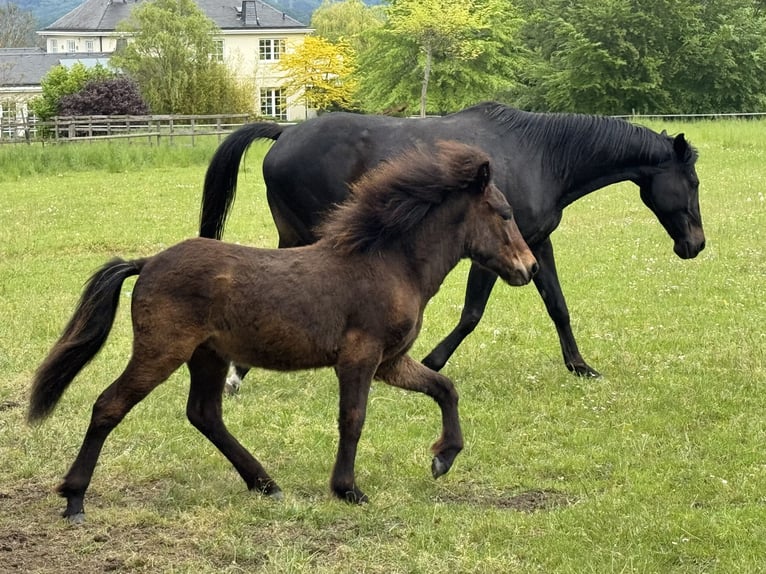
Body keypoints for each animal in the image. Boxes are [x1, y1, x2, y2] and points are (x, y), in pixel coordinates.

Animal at [28, 142, 538, 524]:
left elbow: (444, 387)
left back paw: (266, 484)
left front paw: (443, 458)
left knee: (205, 414)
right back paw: (74, 499)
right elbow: (353, 418)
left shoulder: (390, 361)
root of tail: (148, 262)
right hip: (162, 351)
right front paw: (348, 489)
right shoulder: (361, 356)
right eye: (504, 212)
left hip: (208, 355)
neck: (389, 264)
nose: (530, 268)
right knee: (109, 405)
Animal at [200, 101, 705, 389]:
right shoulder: (491, 254)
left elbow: (558, 306)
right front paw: (431, 360)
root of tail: (285, 132)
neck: (541, 156)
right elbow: (472, 314)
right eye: (694, 182)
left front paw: (580, 366)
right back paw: (239, 372)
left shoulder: (536, 246)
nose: (696, 245)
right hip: (307, 234)